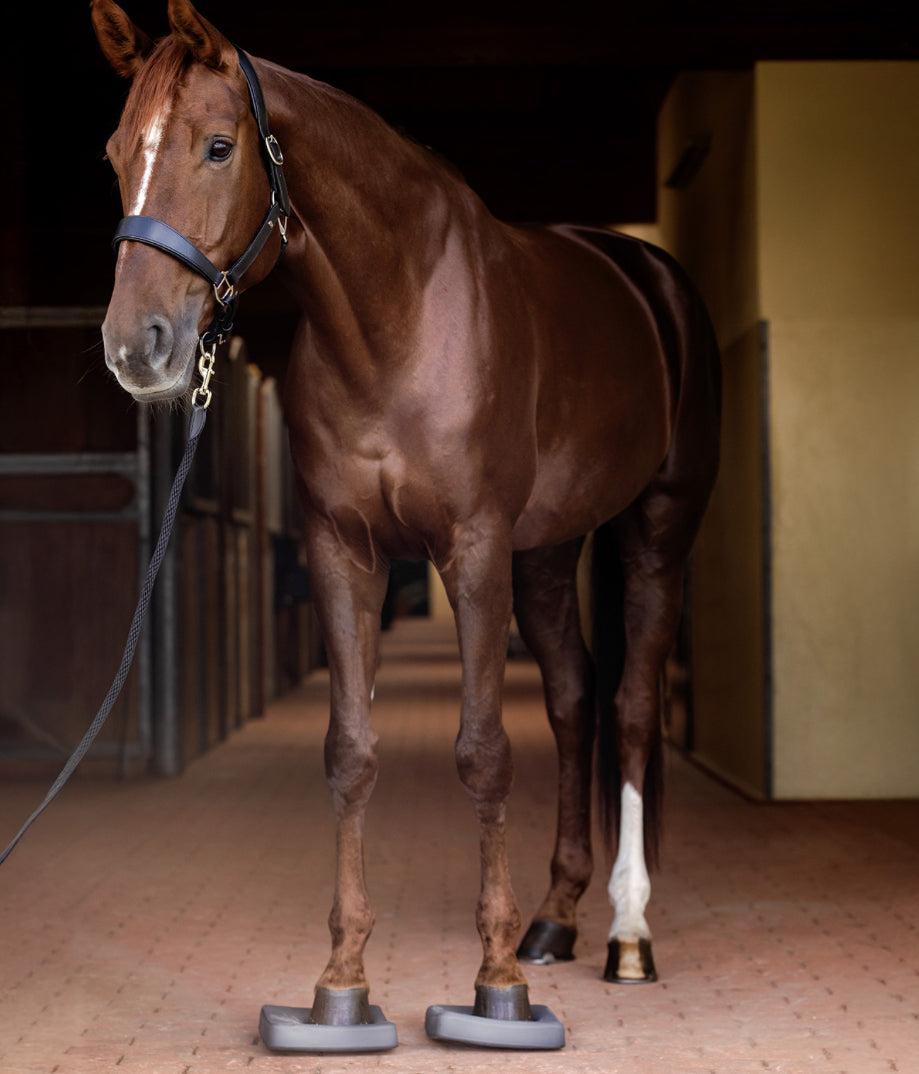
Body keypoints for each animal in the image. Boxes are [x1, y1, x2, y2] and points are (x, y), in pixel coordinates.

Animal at [90, 0, 721, 1046]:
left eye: (218, 146)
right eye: (111, 155)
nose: (135, 349)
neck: (399, 314)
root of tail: (649, 274)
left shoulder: (471, 549)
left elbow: (483, 752)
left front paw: (496, 982)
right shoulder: (343, 551)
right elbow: (350, 753)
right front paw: (340, 982)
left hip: (656, 529)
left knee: (630, 706)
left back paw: (627, 936)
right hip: (545, 552)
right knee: (574, 697)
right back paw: (556, 918)